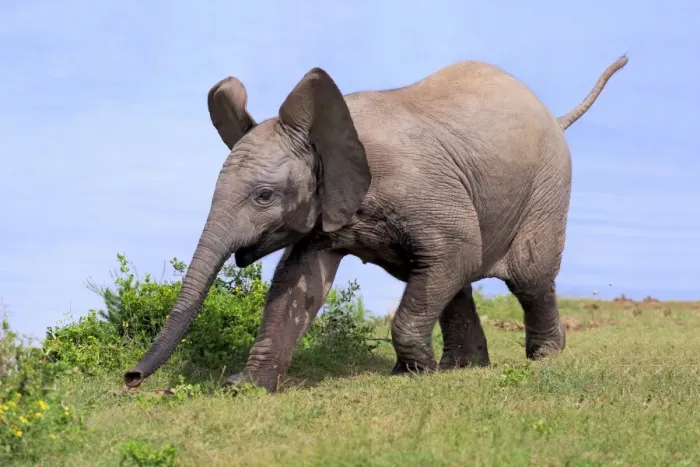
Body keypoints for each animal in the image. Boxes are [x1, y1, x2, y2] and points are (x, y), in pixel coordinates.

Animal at [124, 54, 628, 393]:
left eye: (264, 196)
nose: (131, 377)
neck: (327, 134)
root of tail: (555, 117)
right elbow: (298, 286)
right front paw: (245, 387)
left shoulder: (419, 186)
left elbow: (457, 250)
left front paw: (414, 375)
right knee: (446, 277)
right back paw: (463, 368)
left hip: (548, 184)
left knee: (524, 276)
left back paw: (542, 359)